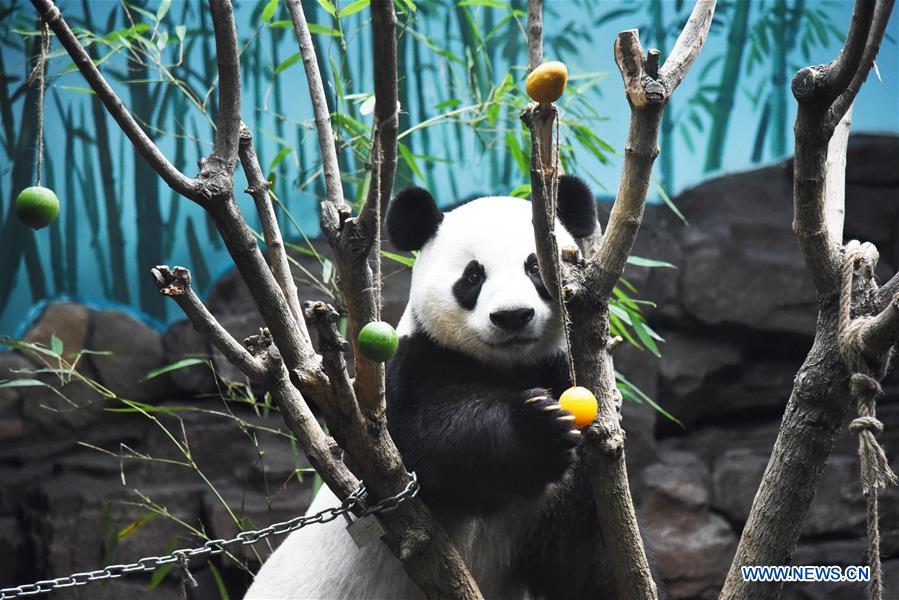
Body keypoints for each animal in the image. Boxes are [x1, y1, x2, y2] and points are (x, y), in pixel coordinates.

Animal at [246, 175, 629, 600]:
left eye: (534, 267)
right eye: (473, 276)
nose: (512, 316)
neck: (508, 368)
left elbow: (577, 554)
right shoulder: (411, 370)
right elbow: (423, 443)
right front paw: (538, 427)